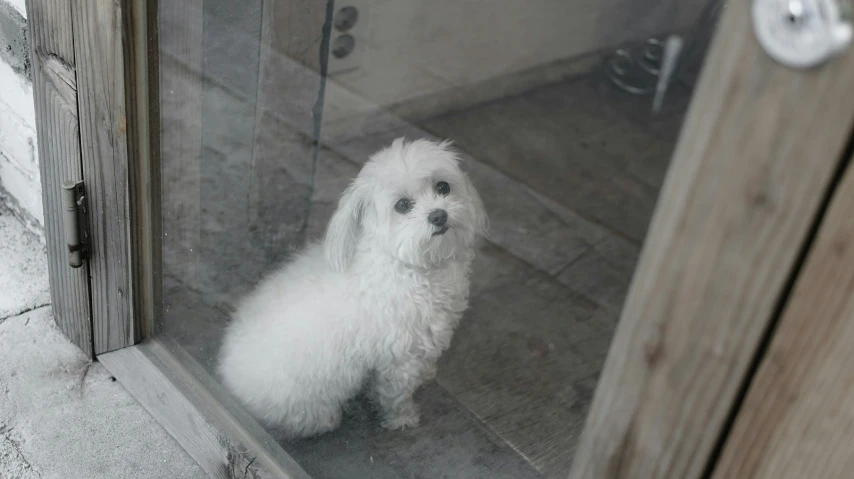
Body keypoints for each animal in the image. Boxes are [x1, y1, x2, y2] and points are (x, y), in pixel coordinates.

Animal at [219, 139, 488, 438]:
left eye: (443, 187)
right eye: (402, 205)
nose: (439, 216)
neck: (411, 266)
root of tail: (229, 381)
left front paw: (427, 374)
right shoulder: (398, 360)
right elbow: (395, 396)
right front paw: (403, 419)